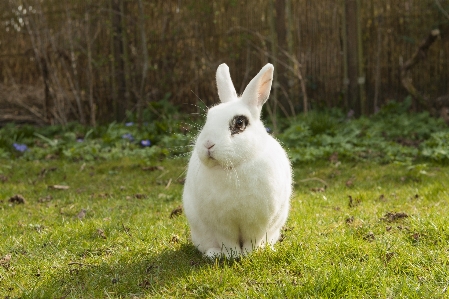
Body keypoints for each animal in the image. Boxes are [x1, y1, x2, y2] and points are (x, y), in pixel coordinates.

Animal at [182, 63, 290, 260]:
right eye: (209, 117)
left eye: (240, 123)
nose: (208, 144)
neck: (233, 168)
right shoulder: (222, 224)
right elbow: (228, 240)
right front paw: (232, 255)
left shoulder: (257, 222)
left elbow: (252, 239)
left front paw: (248, 254)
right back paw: (213, 254)